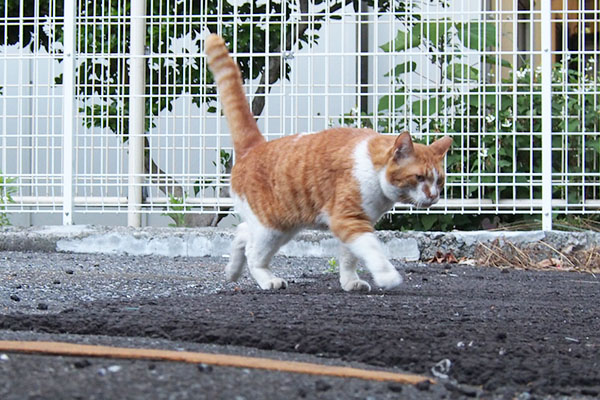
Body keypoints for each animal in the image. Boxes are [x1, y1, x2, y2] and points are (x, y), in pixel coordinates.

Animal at [205, 33, 450, 290]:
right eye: (419, 177)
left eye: (439, 181)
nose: (434, 196)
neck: (374, 176)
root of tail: (255, 146)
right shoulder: (347, 219)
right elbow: (373, 250)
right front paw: (387, 276)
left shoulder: (355, 222)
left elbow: (350, 257)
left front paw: (351, 282)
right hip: (271, 227)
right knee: (254, 254)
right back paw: (267, 280)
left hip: (282, 224)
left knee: (243, 232)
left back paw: (232, 271)